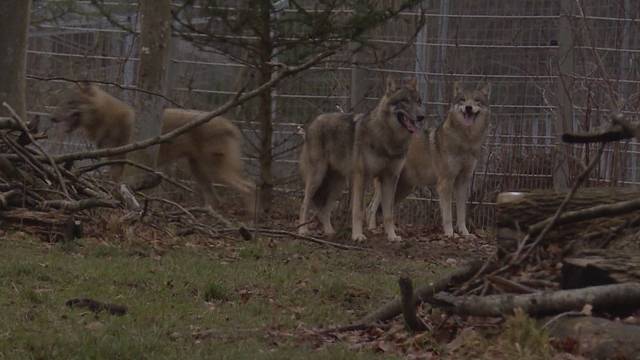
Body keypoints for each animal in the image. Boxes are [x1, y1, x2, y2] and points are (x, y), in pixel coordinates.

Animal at [50, 83, 255, 215]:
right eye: (60, 102)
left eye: (70, 103)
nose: (52, 118)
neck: (106, 119)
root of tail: (233, 126)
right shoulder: (115, 165)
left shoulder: (120, 165)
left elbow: (117, 189)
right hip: (198, 171)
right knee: (215, 201)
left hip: (214, 170)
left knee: (248, 187)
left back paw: (250, 223)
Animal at [298, 78, 424, 242]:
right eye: (405, 101)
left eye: (419, 101)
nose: (422, 116)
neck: (389, 139)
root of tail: (313, 123)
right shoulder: (361, 177)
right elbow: (358, 211)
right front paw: (357, 235)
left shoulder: (390, 178)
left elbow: (388, 214)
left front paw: (392, 236)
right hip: (316, 179)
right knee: (304, 204)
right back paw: (303, 230)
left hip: (338, 185)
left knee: (324, 209)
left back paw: (330, 232)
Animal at [364, 81, 490, 236]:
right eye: (463, 100)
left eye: (477, 101)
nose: (468, 107)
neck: (466, 140)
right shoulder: (445, 182)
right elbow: (448, 215)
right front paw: (450, 234)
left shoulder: (463, 181)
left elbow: (461, 214)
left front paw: (465, 233)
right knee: (371, 208)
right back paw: (373, 230)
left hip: (403, 188)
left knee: (385, 209)